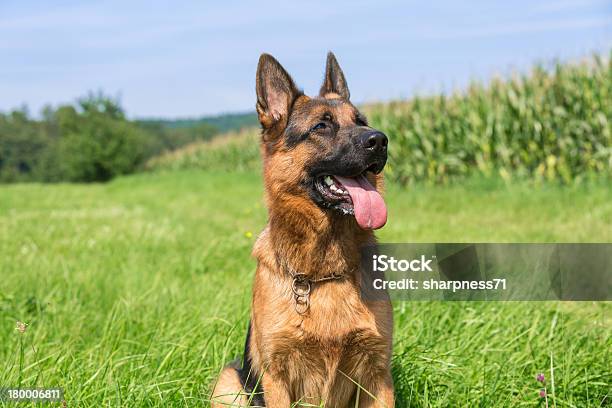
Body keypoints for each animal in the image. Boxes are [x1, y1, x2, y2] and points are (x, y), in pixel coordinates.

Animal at [212, 52, 392, 406]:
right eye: (321, 126)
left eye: (362, 121)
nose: (379, 140)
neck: (323, 273)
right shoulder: (277, 377)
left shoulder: (378, 376)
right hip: (228, 383)